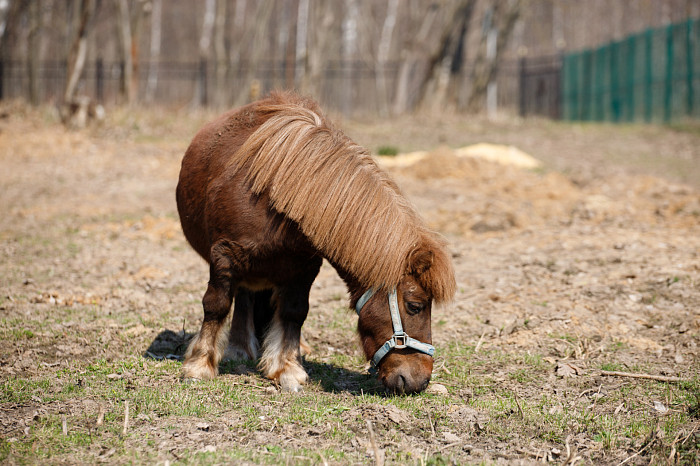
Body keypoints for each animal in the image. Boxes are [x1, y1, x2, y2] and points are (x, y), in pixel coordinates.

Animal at [176, 92, 454, 394]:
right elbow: (216, 304)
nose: (419, 380)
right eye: (415, 306)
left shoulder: (303, 268)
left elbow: (294, 312)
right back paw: (239, 349)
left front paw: (287, 367)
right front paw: (199, 365)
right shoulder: (224, 256)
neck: (276, 196)